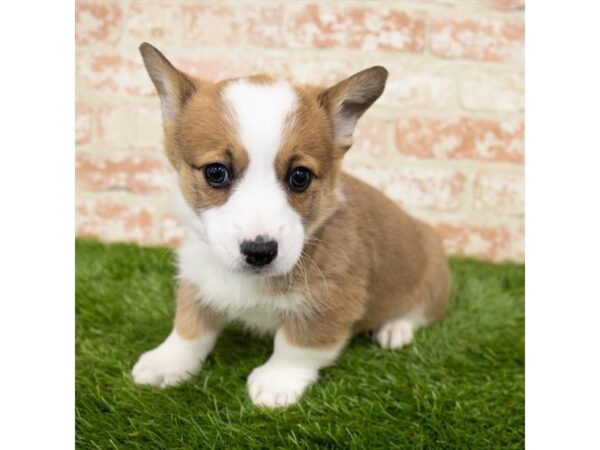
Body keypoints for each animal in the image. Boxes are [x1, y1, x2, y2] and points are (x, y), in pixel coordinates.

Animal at [132, 43, 450, 408]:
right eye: (215, 172)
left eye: (300, 177)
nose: (260, 251)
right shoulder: (199, 279)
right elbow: (188, 329)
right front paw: (166, 363)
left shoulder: (330, 302)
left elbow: (297, 346)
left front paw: (276, 382)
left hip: (432, 281)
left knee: (419, 313)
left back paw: (394, 329)